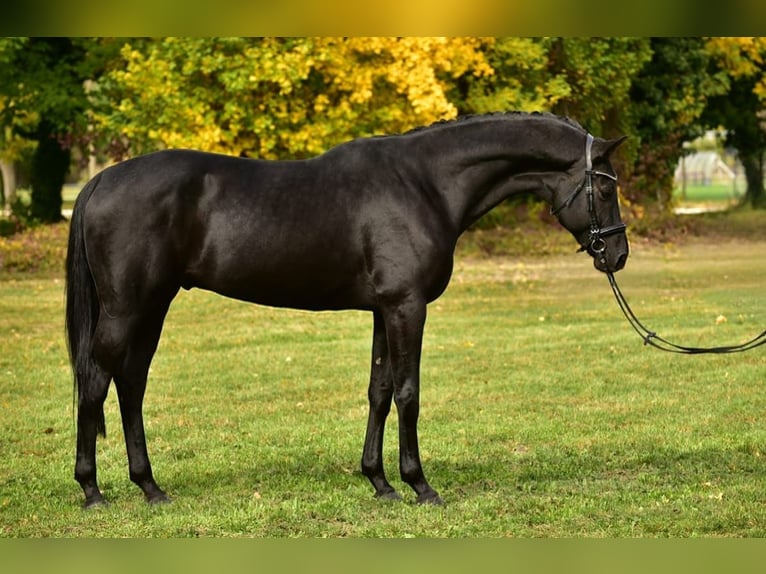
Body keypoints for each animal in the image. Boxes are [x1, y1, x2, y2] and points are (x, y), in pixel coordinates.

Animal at [65, 112, 629, 508]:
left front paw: (380, 482)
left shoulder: (385, 309)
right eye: (605, 186)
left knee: (131, 383)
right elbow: (408, 394)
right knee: (96, 381)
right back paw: (92, 491)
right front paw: (420, 485)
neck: (424, 183)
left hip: (153, 306)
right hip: (126, 309)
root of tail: (101, 181)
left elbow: (379, 392)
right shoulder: (407, 307)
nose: (618, 254)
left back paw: (150, 487)